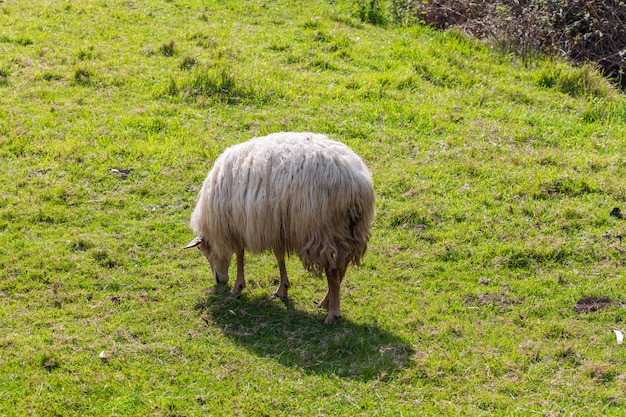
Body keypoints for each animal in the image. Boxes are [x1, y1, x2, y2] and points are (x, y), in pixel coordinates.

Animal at [183, 132, 372, 324]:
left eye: (204, 251)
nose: (219, 281)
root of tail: (357, 185)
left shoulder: (238, 226)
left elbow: (240, 255)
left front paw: (237, 288)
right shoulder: (275, 226)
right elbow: (279, 256)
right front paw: (283, 289)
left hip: (323, 232)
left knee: (333, 272)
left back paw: (332, 314)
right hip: (349, 231)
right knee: (341, 267)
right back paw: (326, 301)